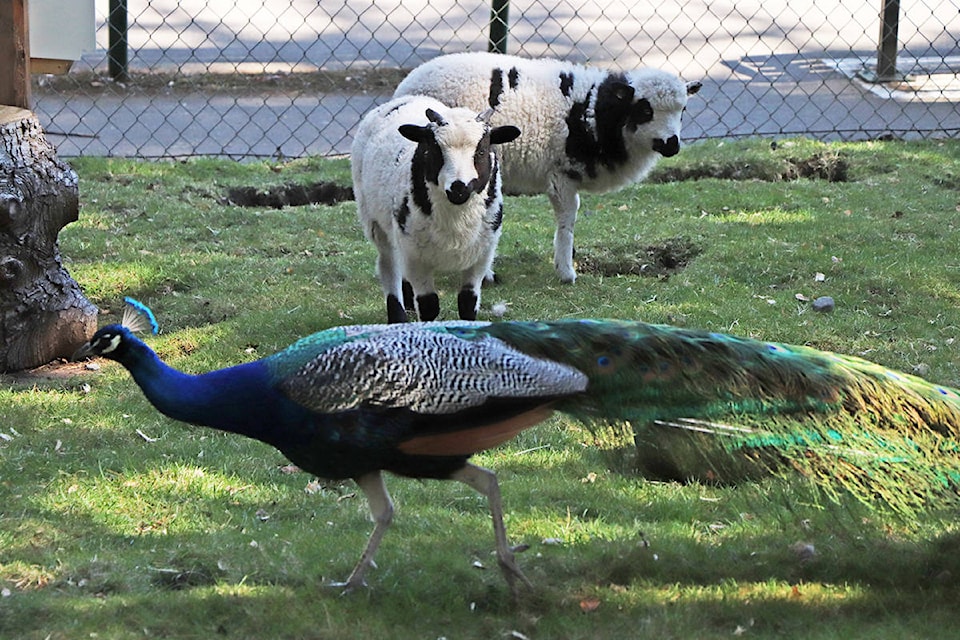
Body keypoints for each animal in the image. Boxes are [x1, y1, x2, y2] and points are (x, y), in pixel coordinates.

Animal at [350, 94, 516, 324]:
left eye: (481, 151)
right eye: (435, 151)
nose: (459, 187)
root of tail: (409, 97)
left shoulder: (482, 253)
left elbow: (468, 302)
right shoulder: (415, 256)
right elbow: (429, 305)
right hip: (375, 221)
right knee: (389, 266)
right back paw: (398, 316)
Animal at [394, 53, 700, 284]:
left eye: (683, 110)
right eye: (645, 110)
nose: (672, 144)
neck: (597, 113)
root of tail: (406, 85)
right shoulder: (561, 174)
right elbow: (568, 218)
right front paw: (566, 271)